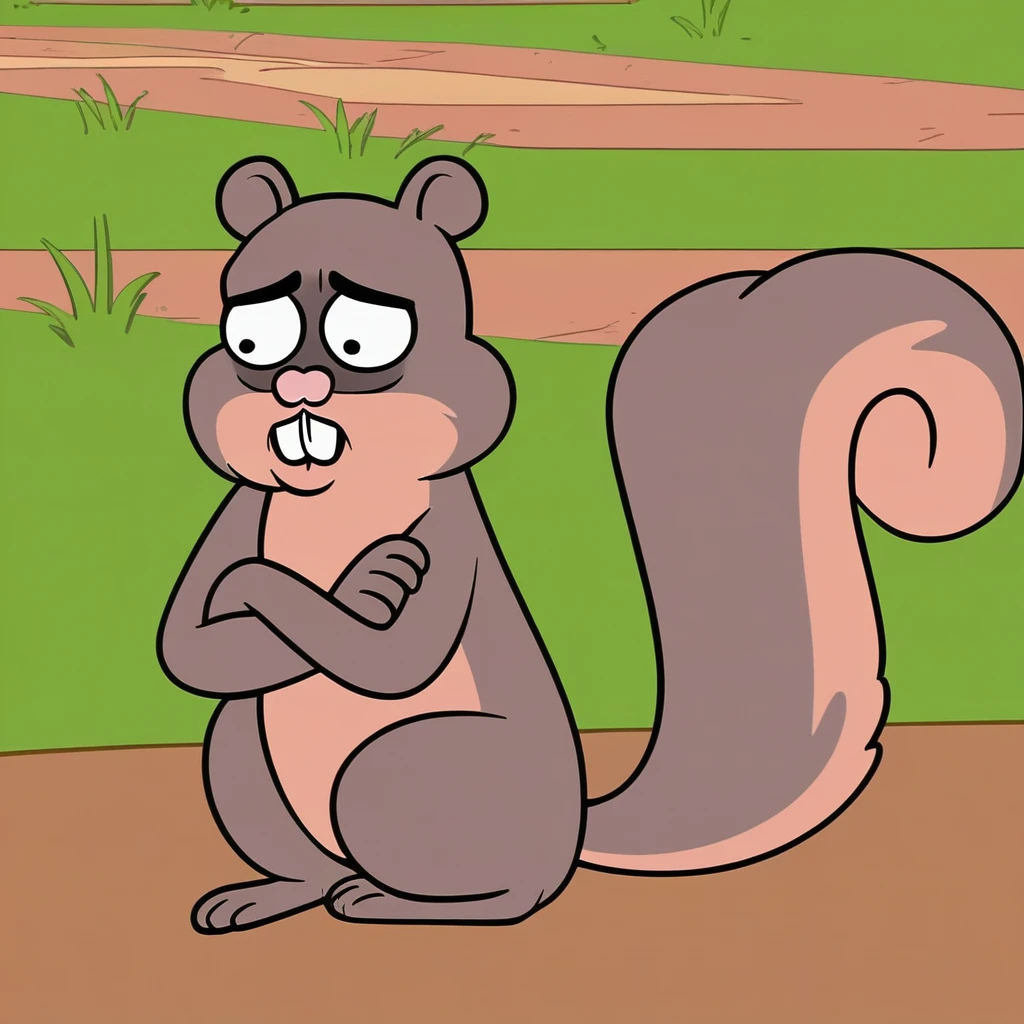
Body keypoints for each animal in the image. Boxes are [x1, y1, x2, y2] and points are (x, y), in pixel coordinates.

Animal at [157, 154, 1024, 933]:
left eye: (363, 340)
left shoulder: (449, 536)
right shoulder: (242, 507)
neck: (335, 495)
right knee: (282, 806)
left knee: (511, 896)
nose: (298, 389)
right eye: (250, 339)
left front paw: (363, 579)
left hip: (399, 769)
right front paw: (312, 583)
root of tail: (572, 830)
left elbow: (394, 657)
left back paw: (390, 901)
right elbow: (188, 644)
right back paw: (271, 895)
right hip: (241, 744)